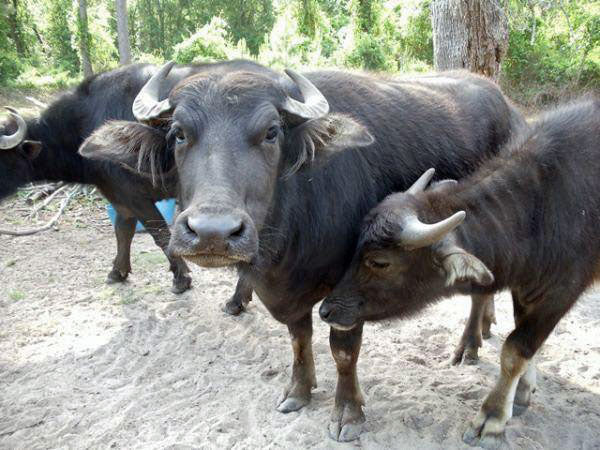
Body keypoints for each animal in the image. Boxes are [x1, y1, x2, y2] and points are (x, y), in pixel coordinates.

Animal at [0, 61, 264, 298]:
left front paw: (181, 279)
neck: (84, 123)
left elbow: (160, 235)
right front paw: (118, 271)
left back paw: (238, 300)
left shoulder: (137, 198)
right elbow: (122, 232)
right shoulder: (119, 198)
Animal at [78, 65, 524, 442]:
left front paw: (347, 412)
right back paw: (484, 328)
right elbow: (298, 337)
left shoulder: (353, 290)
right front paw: (299, 390)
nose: (212, 232)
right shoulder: (285, 292)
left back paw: (469, 344)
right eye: (178, 134)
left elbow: (343, 351)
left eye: (271, 132)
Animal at [322, 97, 596, 446]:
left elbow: (516, 349)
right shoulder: (526, 285)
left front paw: (492, 417)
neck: (540, 206)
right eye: (355, 245)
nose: (326, 310)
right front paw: (523, 391)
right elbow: (524, 339)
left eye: (380, 262)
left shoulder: (561, 291)